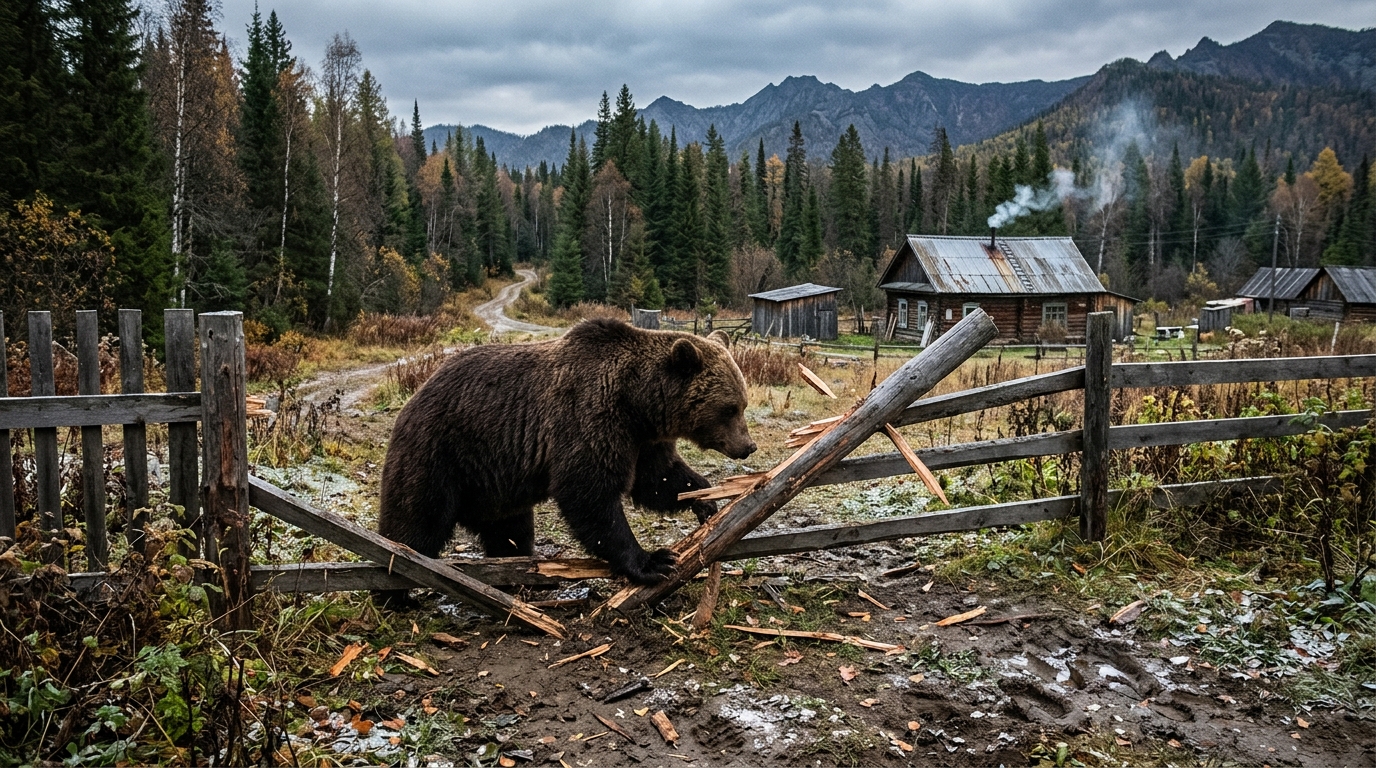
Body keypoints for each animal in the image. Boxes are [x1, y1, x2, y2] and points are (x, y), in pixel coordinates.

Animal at [377, 318, 756, 585]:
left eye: (743, 403)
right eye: (729, 408)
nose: (748, 446)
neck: (637, 402)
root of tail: (413, 399)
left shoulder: (642, 440)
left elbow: (657, 479)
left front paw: (705, 500)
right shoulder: (588, 418)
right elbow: (589, 493)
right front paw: (653, 561)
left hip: (493, 484)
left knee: (510, 532)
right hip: (439, 453)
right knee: (416, 520)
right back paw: (397, 585)